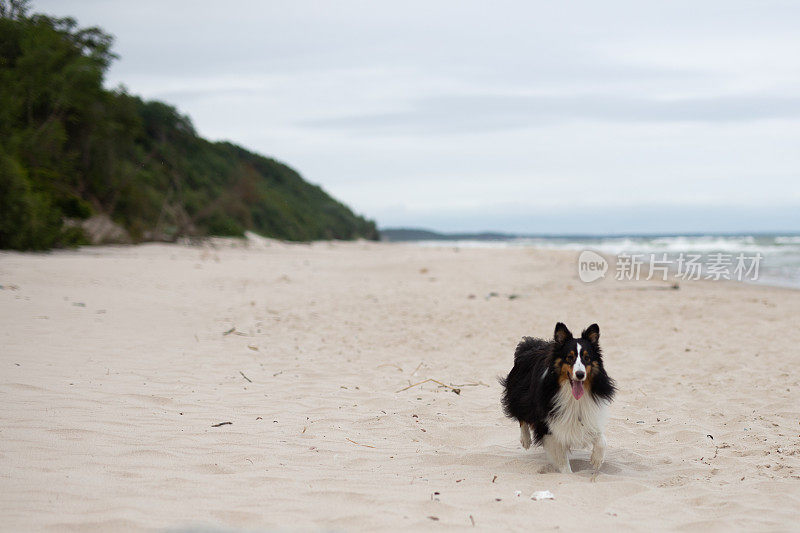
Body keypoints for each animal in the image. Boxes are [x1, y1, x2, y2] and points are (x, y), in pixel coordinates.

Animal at [500, 322, 620, 472]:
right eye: (570, 357)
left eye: (587, 358)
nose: (580, 374)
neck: (572, 395)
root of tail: (531, 345)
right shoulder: (549, 424)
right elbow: (562, 459)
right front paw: (568, 474)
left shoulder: (588, 414)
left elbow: (601, 437)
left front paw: (597, 461)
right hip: (521, 396)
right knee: (521, 415)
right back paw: (526, 440)